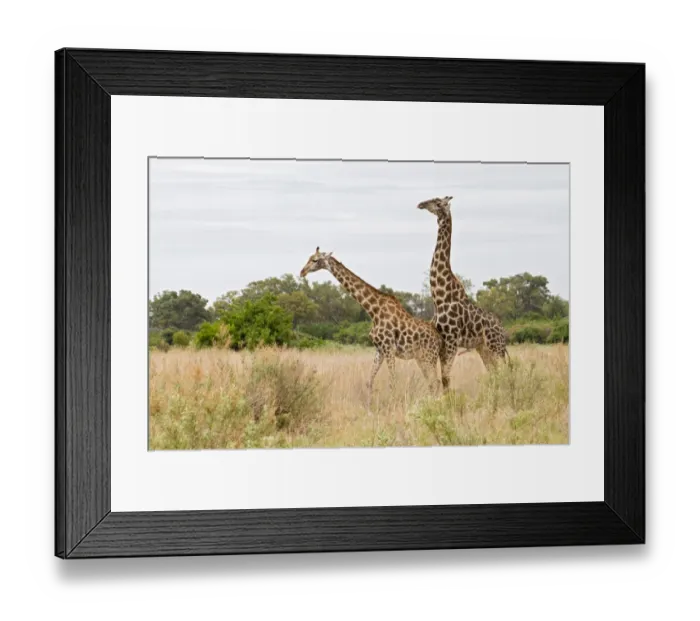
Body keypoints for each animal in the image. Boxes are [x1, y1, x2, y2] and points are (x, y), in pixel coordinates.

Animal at [300, 247, 443, 408]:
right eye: (309, 257)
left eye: (315, 260)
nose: (302, 272)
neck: (373, 311)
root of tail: (439, 339)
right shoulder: (379, 350)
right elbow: (369, 381)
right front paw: (369, 408)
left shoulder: (389, 348)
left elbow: (392, 381)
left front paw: (392, 407)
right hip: (421, 358)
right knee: (432, 382)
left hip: (429, 357)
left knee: (435, 381)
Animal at [417, 196, 508, 389]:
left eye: (437, 202)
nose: (420, 204)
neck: (440, 297)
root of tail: (502, 328)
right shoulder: (443, 343)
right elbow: (443, 379)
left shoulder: (451, 341)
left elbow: (445, 379)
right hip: (483, 348)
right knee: (495, 373)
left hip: (496, 347)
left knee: (505, 372)